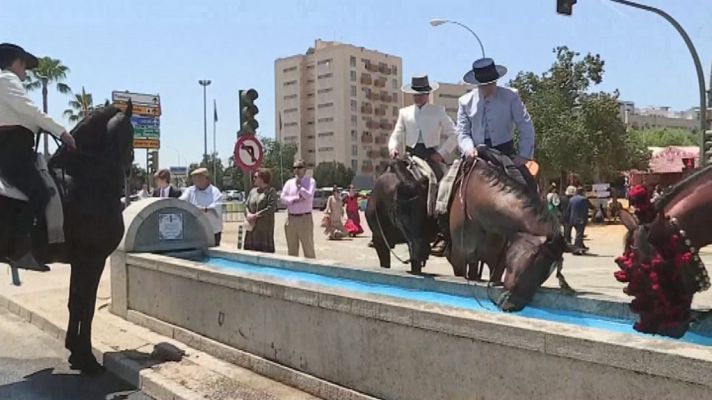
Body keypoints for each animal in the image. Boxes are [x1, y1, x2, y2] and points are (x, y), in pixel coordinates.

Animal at [0, 102, 134, 372]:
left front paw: (74, 352)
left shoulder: (78, 262)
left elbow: (74, 302)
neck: (86, 181)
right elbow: (86, 305)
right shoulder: (93, 260)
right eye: (132, 132)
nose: (131, 163)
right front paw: (87, 359)